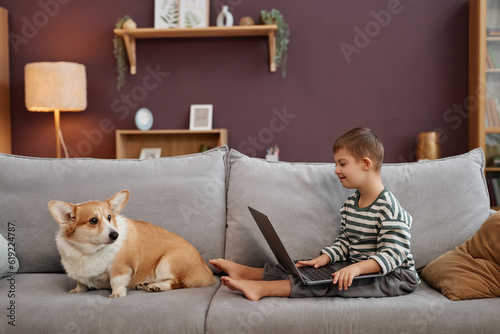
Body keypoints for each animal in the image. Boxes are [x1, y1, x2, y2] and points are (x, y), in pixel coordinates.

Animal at [47, 189, 216, 298]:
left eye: (109, 217)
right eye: (93, 220)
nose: (115, 235)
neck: (88, 251)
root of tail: (207, 271)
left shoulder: (120, 267)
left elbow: (116, 281)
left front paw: (116, 294)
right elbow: (81, 283)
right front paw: (77, 291)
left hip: (168, 261)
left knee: (177, 282)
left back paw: (157, 286)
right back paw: (147, 284)